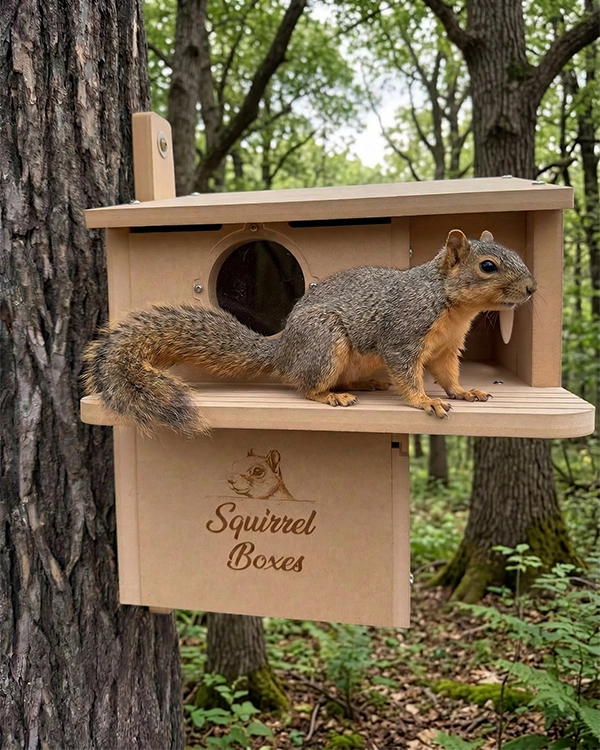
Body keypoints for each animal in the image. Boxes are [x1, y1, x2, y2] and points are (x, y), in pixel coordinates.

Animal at [83, 229, 537, 436]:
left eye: (515, 253)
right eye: (488, 266)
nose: (533, 288)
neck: (451, 305)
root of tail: (283, 349)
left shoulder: (446, 347)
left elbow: (447, 373)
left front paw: (463, 392)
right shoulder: (403, 334)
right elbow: (409, 374)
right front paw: (425, 400)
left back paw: (366, 384)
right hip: (325, 341)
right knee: (305, 386)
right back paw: (331, 395)